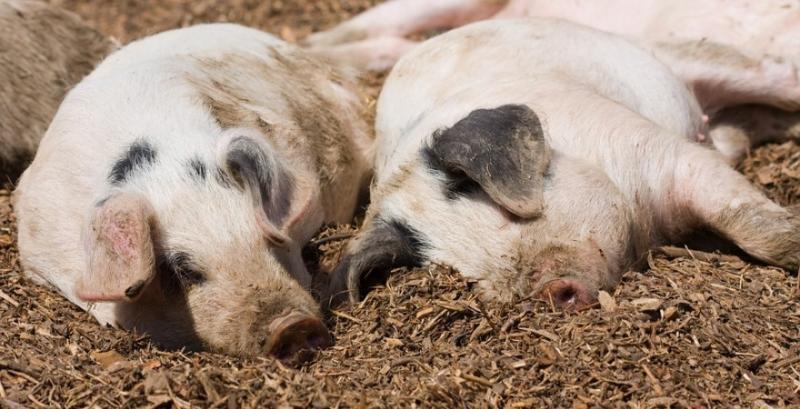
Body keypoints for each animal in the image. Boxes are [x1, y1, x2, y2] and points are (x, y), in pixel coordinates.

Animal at [324, 17, 800, 308]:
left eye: (507, 216)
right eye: (465, 274)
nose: (550, 290)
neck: (650, 228)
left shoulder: (660, 151)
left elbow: (749, 222)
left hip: (701, 62)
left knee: (773, 77)